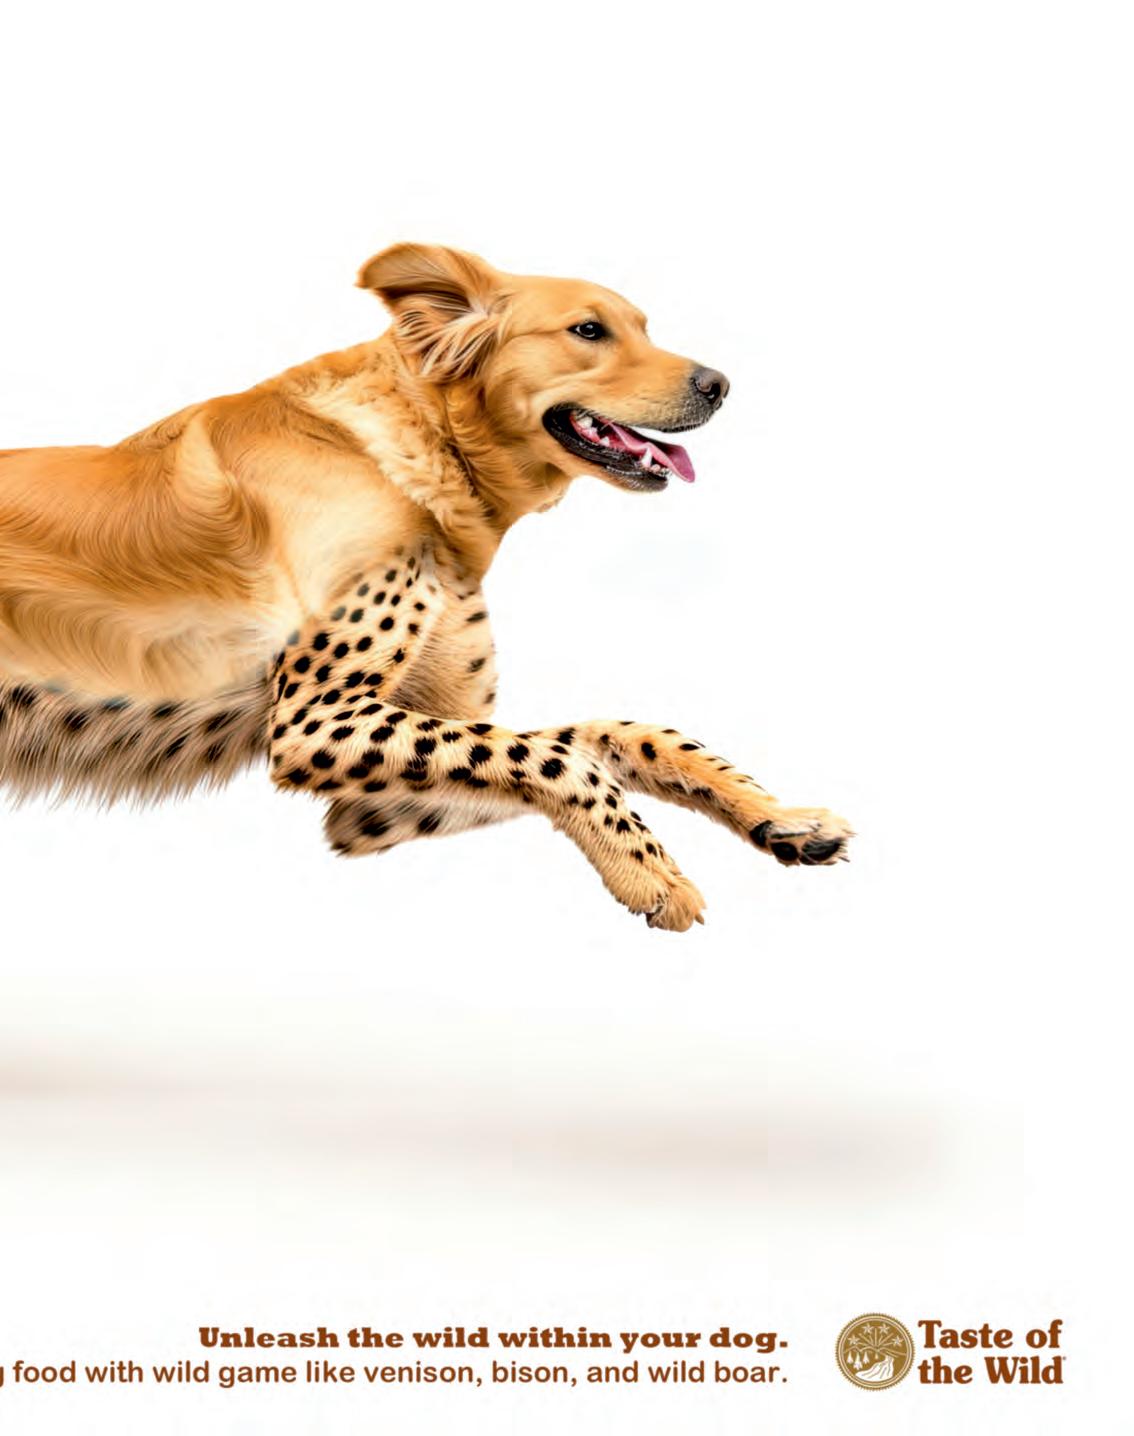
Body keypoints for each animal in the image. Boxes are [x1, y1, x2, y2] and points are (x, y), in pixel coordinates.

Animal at [0, 243, 851, 929]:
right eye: (587, 331)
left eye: (643, 326)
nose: (720, 384)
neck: (430, 453)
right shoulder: (313, 722)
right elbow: (563, 760)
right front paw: (652, 875)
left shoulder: (369, 804)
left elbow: (611, 736)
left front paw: (779, 818)